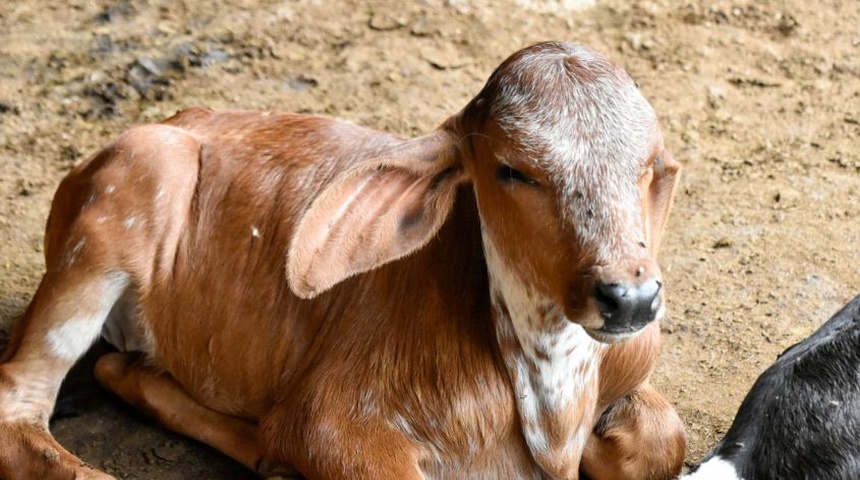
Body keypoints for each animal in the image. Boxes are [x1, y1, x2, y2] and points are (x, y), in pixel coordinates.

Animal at [0, 42, 684, 480]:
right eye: (512, 170)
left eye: (654, 168)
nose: (629, 297)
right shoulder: (333, 426)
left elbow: (663, 443)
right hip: (118, 206)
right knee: (19, 404)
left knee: (117, 370)